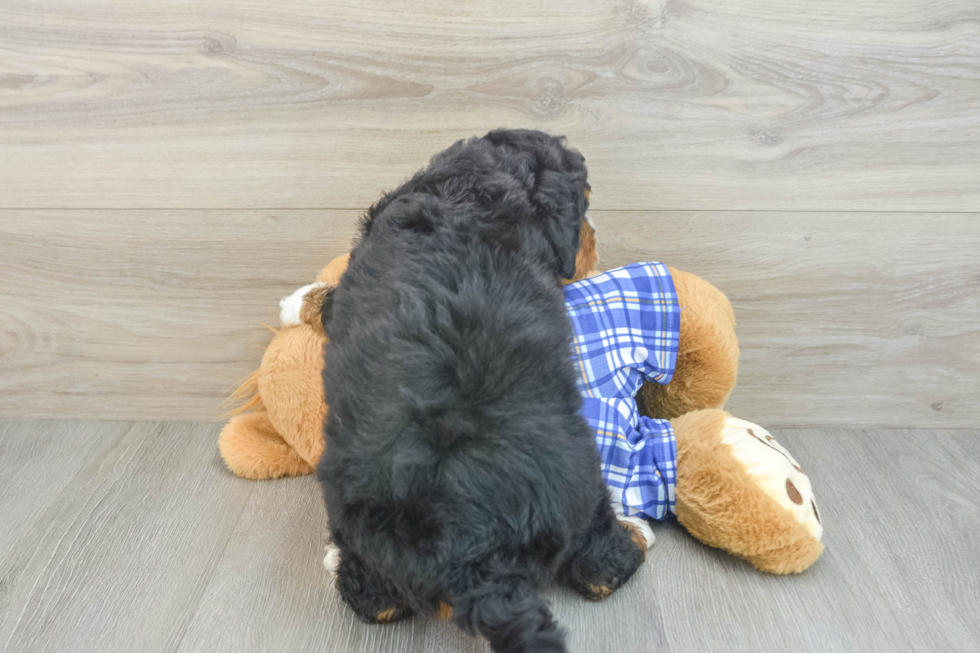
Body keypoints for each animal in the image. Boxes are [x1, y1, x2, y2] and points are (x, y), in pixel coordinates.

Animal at [318, 129, 648, 652]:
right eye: (583, 207)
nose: (596, 242)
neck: (463, 195)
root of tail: (476, 564)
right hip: (582, 476)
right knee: (599, 561)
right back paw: (628, 545)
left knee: (376, 598)